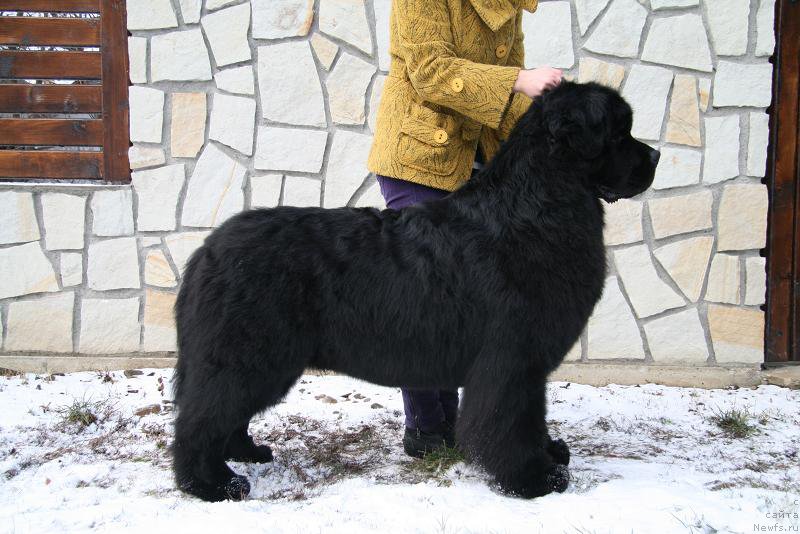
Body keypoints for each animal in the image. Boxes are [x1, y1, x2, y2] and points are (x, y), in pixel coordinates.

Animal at [169, 81, 656, 504]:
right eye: (619, 132)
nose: (656, 155)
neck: (535, 207)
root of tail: (208, 250)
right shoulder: (512, 362)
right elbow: (512, 423)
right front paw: (533, 479)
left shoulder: (526, 367)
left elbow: (532, 418)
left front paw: (550, 453)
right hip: (247, 357)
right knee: (199, 421)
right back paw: (214, 484)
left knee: (223, 415)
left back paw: (246, 454)